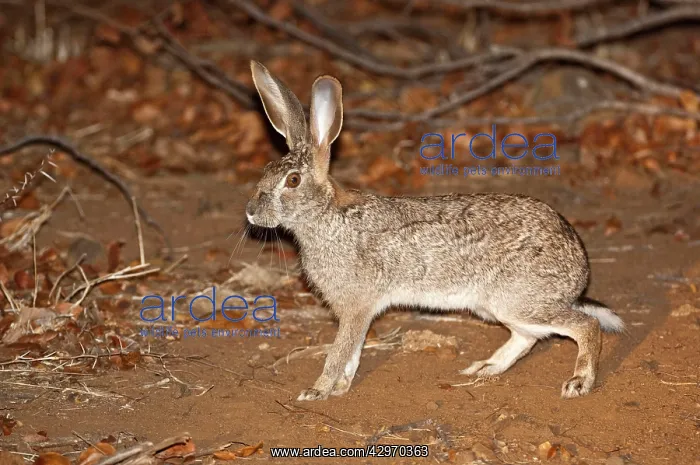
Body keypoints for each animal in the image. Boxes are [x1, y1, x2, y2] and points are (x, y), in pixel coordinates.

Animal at [245, 60, 625, 401]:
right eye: (266, 170)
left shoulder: (356, 305)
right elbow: (352, 353)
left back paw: (579, 382)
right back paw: (485, 368)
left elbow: (339, 351)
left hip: (519, 300)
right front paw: (339, 387)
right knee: (527, 338)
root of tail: (579, 267)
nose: (251, 212)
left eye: (293, 181)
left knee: (584, 326)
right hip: (495, 307)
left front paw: (317, 390)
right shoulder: (359, 311)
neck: (324, 215)